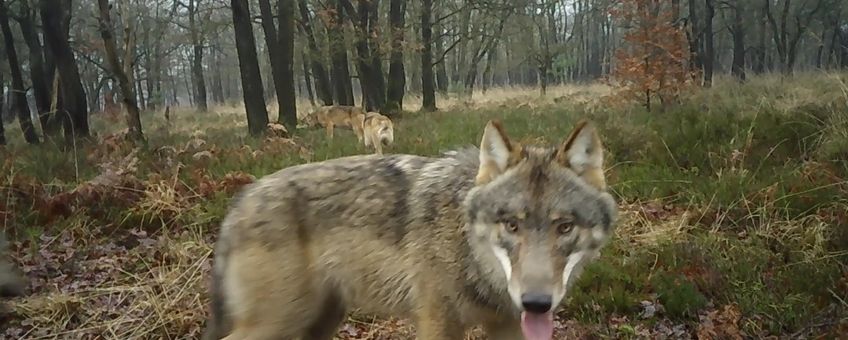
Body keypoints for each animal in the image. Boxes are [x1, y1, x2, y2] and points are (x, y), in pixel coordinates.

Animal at [203, 119, 620, 340]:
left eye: (564, 226)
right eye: (511, 225)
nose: (536, 302)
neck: (465, 248)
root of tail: (241, 199)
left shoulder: (509, 326)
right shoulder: (437, 322)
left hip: (317, 322)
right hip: (278, 322)